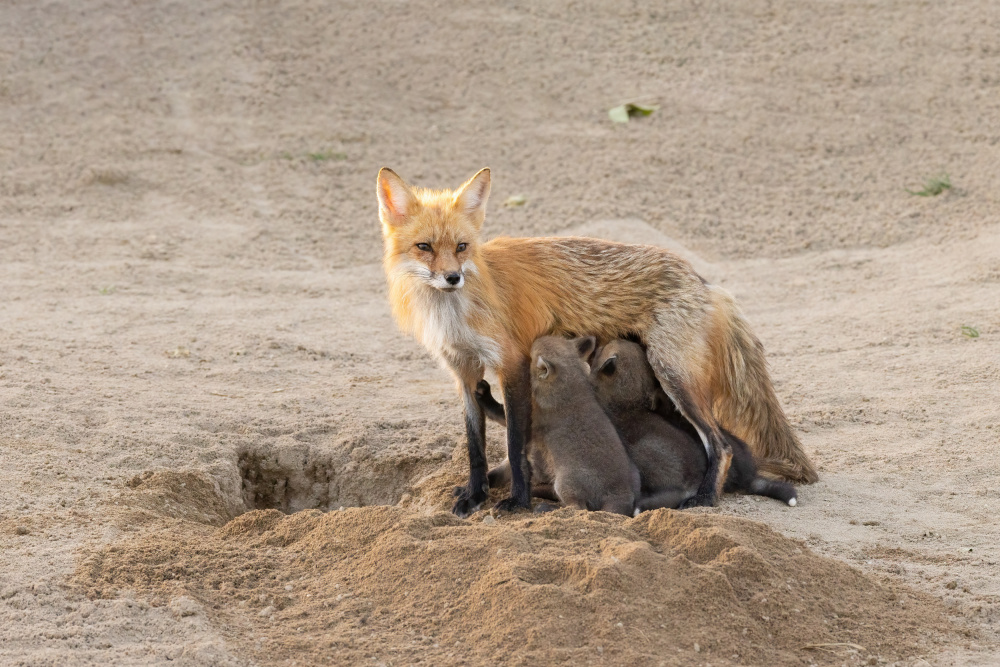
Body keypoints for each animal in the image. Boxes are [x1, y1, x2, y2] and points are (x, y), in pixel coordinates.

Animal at [378, 166, 816, 516]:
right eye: (424, 247)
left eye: (462, 247)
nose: (452, 278)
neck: (454, 314)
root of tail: (704, 282)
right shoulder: (464, 371)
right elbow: (475, 447)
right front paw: (475, 495)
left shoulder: (512, 363)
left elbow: (516, 444)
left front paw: (517, 501)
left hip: (674, 376)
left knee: (720, 444)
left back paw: (706, 497)